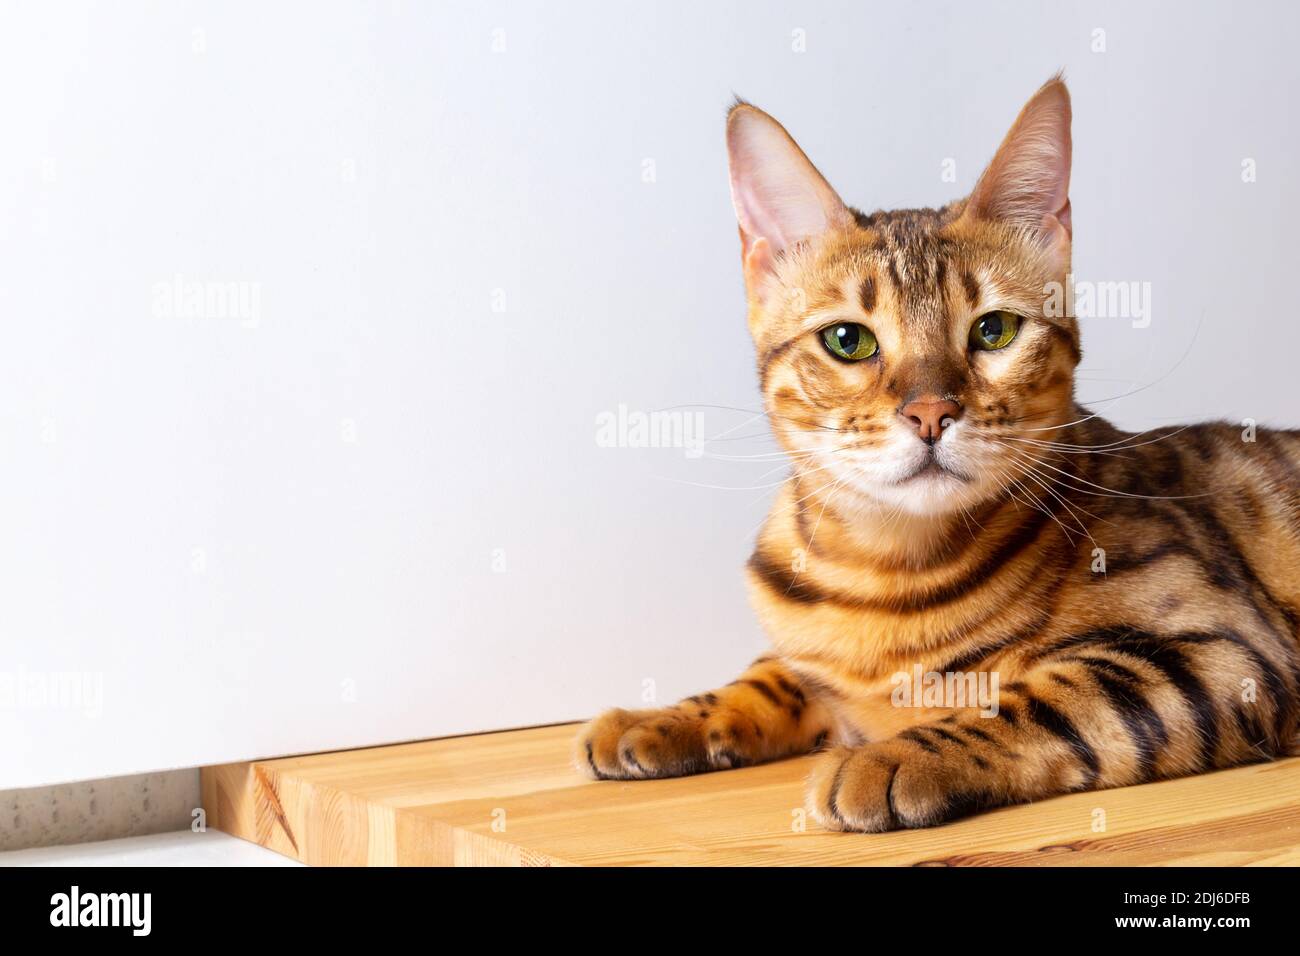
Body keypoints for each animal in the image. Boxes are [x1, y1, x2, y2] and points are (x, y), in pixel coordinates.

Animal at [577, 78, 1300, 832]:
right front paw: (662, 716)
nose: (930, 413)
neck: (880, 574)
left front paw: (889, 756)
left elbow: (1033, 695)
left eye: (995, 329)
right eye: (848, 341)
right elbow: (771, 672)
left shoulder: (1228, 651)